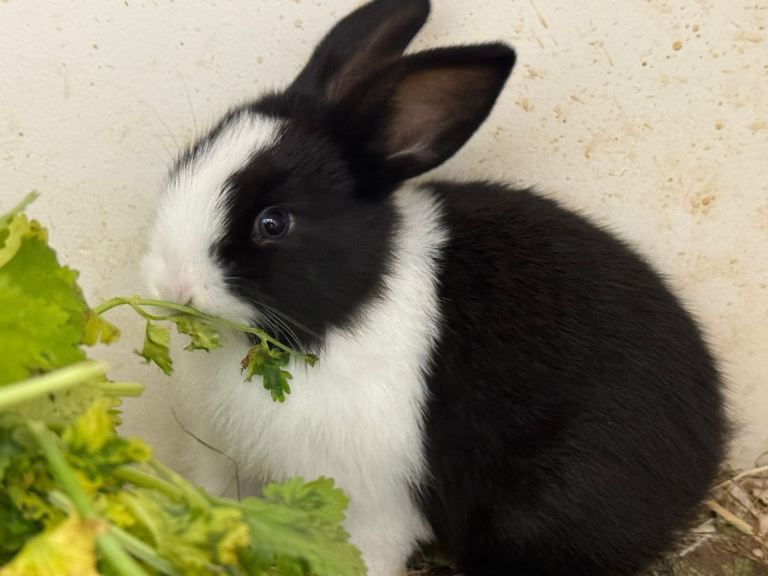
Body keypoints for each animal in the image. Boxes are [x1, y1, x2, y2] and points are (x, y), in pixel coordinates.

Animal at [142, 0, 728, 575]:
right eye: (189, 157)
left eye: (274, 223)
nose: (171, 282)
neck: (350, 307)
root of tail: (709, 444)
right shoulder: (223, 461)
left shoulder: (373, 501)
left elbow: (366, 556)